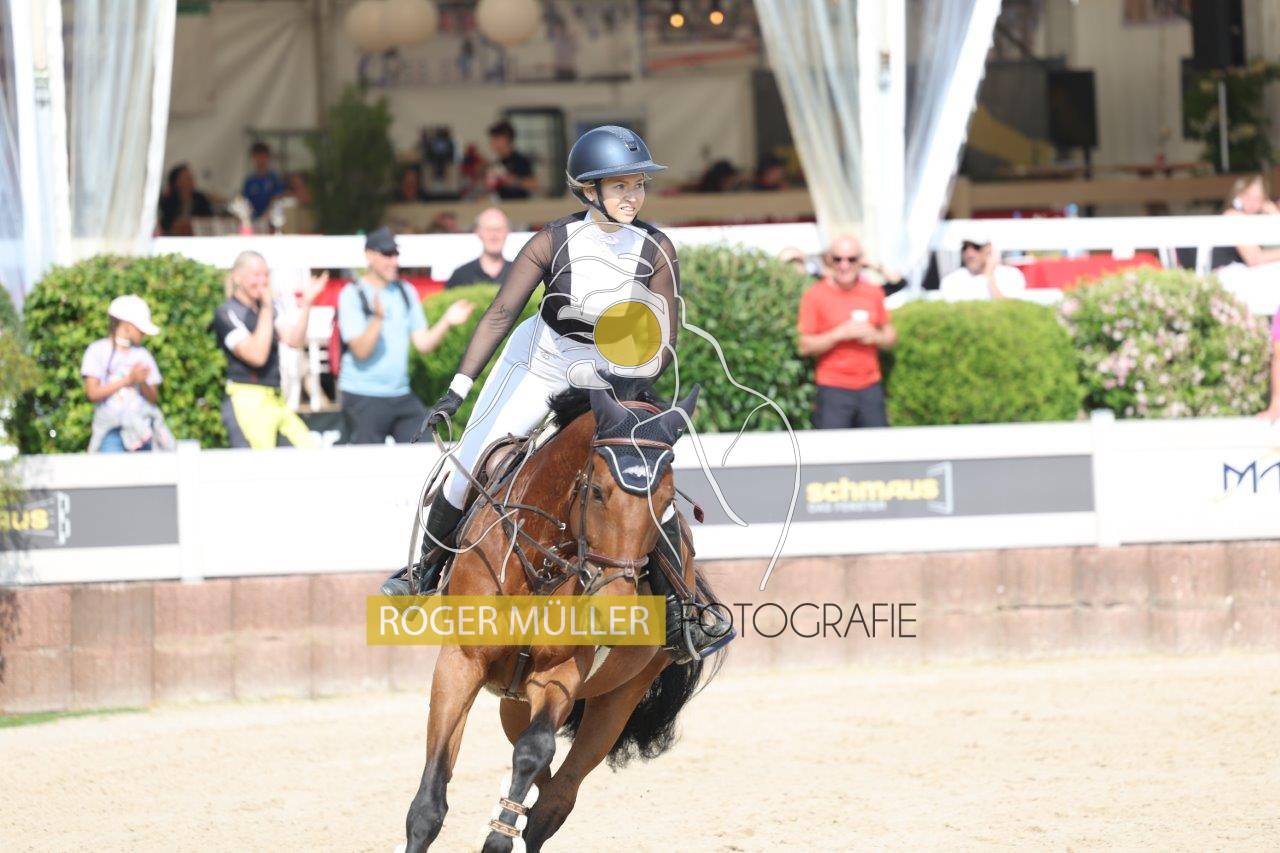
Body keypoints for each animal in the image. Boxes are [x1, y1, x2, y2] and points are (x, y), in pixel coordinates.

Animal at [402, 379, 727, 852]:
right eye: (597, 491)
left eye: (666, 500)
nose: (616, 610)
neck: (537, 560)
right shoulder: (461, 662)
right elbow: (429, 801)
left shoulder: (560, 674)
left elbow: (534, 753)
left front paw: (499, 837)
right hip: (512, 703)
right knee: (543, 784)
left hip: (619, 699)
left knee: (555, 799)